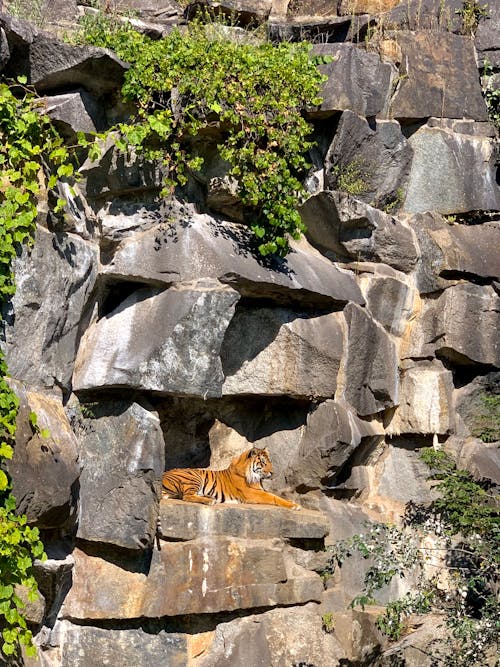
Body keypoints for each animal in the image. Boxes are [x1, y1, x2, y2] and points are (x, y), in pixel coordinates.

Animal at [161, 448, 300, 512]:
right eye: (263, 462)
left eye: (270, 461)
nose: (272, 472)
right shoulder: (252, 493)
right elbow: (274, 497)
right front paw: (294, 505)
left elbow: (275, 495)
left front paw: (291, 501)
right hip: (193, 477)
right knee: (187, 496)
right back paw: (210, 501)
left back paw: (209, 497)